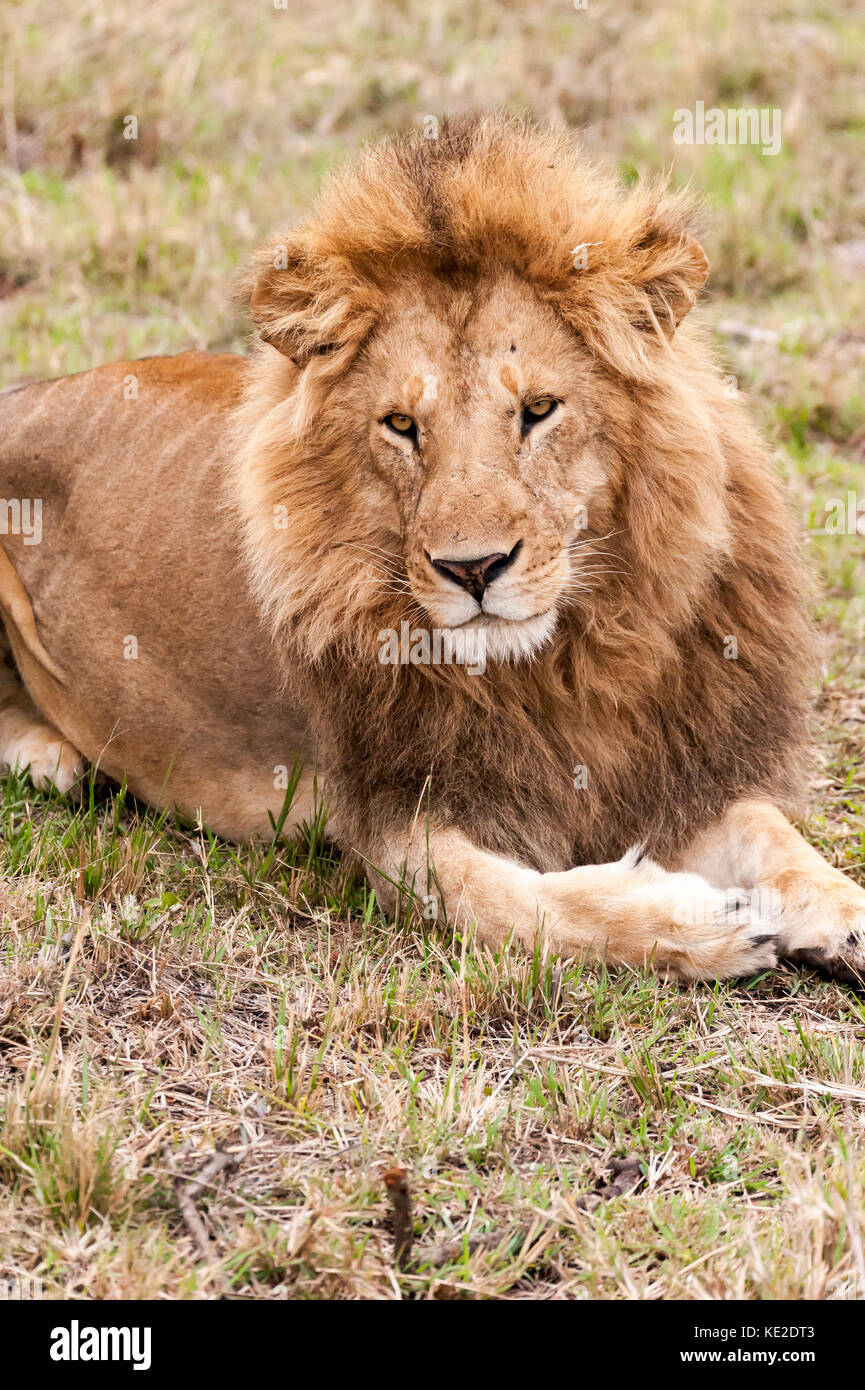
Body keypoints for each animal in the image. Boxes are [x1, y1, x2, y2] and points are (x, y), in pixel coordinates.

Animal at [1, 113, 865, 984]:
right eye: (401, 425)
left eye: (538, 410)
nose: (473, 569)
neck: (566, 665)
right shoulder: (395, 818)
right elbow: (519, 905)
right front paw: (700, 923)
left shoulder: (668, 770)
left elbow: (777, 839)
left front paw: (842, 914)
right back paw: (50, 759)